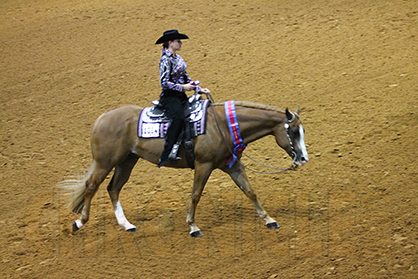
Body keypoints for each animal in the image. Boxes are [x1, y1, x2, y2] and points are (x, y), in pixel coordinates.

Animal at [58, 100, 306, 238]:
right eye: (293, 131)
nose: (303, 158)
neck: (222, 125)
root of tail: (102, 118)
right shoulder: (204, 165)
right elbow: (196, 195)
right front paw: (193, 227)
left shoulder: (231, 164)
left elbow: (250, 190)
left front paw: (269, 219)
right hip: (105, 162)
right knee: (91, 186)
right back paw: (79, 223)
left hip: (126, 162)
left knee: (113, 188)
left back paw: (127, 225)